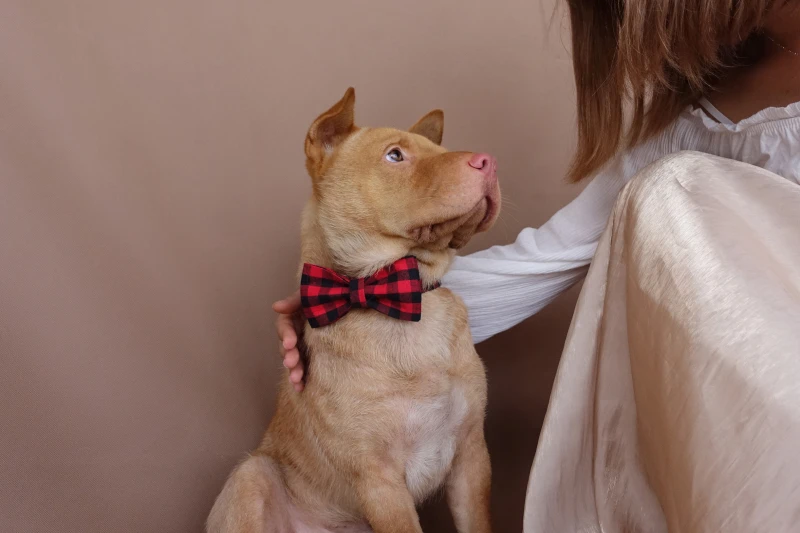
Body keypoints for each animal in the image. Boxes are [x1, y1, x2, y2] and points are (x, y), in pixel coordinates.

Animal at [207, 87, 500, 533]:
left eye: (440, 150)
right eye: (395, 155)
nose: (489, 162)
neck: (392, 299)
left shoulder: (471, 459)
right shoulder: (380, 484)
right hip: (251, 475)